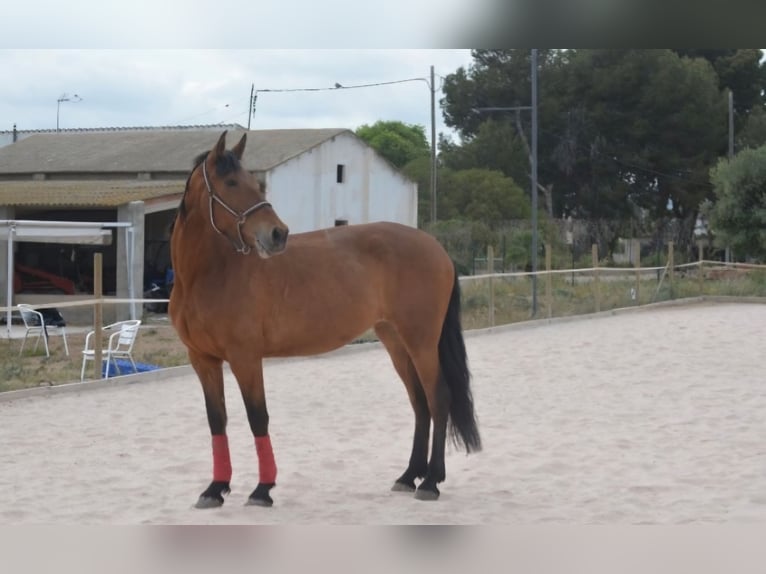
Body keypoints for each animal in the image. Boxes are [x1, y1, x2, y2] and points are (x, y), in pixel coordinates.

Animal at [169, 130, 481, 508]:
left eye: (257, 184)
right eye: (231, 182)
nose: (278, 234)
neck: (209, 274)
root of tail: (435, 247)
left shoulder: (245, 358)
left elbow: (258, 417)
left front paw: (262, 489)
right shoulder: (203, 360)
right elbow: (217, 420)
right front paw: (215, 488)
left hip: (421, 341)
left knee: (438, 399)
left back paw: (431, 481)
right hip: (395, 340)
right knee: (420, 403)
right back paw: (409, 476)